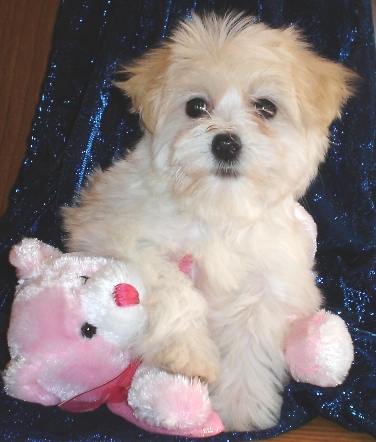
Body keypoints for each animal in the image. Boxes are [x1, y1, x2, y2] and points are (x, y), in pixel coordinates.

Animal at [63, 12, 356, 428]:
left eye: (266, 108)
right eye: (196, 107)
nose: (226, 143)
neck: (219, 208)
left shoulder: (271, 280)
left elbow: (252, 337)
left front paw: (241, 405)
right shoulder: (112, 232)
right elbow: (171, 284)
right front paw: (189, 354)